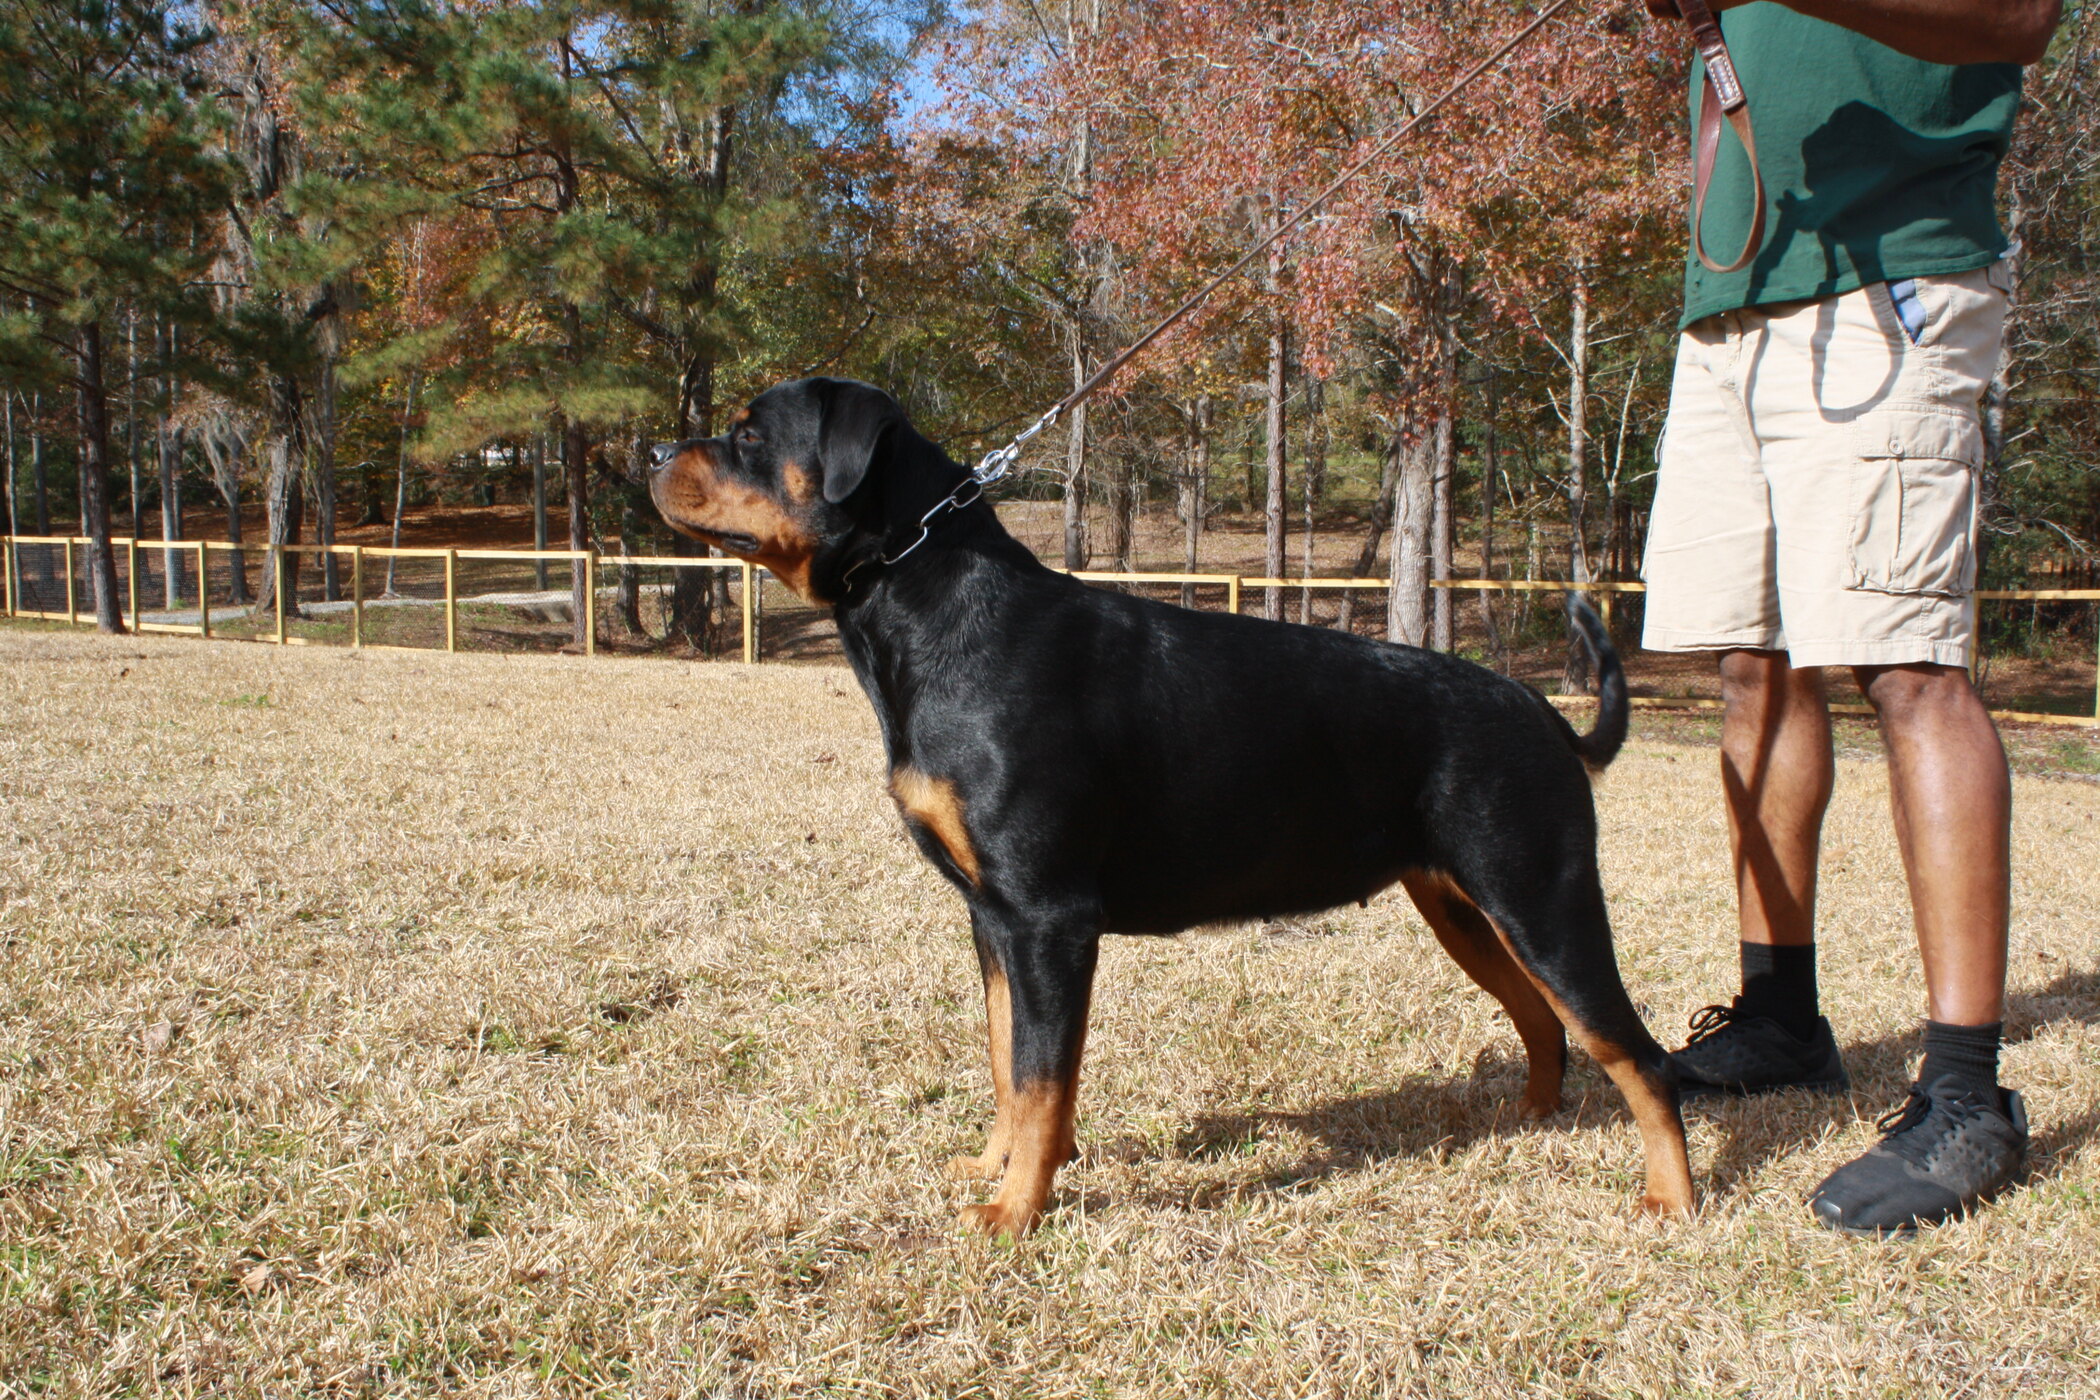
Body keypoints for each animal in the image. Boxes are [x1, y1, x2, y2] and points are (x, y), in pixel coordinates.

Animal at [648, 377, 1693, 1238]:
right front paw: (997, 1168)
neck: (935, 612)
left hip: (1544, 899)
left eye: (748, 435)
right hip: (1464, 909)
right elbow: (1008, 1061)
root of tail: (1547, 720)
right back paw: (1529, 1121)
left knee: (1637, 1052)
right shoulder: (993, 919)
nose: (653, 453)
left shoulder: (1049, 918)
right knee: (1544, 1021)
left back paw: (1672, 1197)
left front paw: (1016, 1212)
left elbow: (1041, 1075)